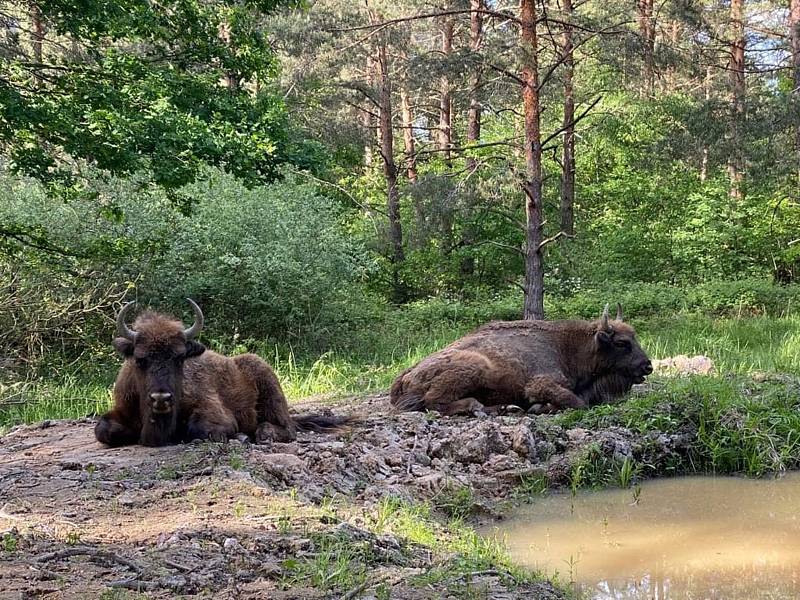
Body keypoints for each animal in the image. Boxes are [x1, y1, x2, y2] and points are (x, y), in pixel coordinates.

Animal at [96, 298, 346, 446]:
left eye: (179, 358)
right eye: (140, 359)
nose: (161, 398)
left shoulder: (214, 412)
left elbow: (201, 428)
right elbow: (103, 430)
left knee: (287, 428)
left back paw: (262, 434)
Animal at [390, 304, 652, 418]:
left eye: (635, 336)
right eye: (622, 343)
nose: (648, 366)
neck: (568, 347)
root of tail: (404, 375)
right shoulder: (540, 384)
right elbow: (576, 402)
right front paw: (538, 407)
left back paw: (505, 407)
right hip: (473, 367)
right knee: (434, 401)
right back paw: (478, 407)